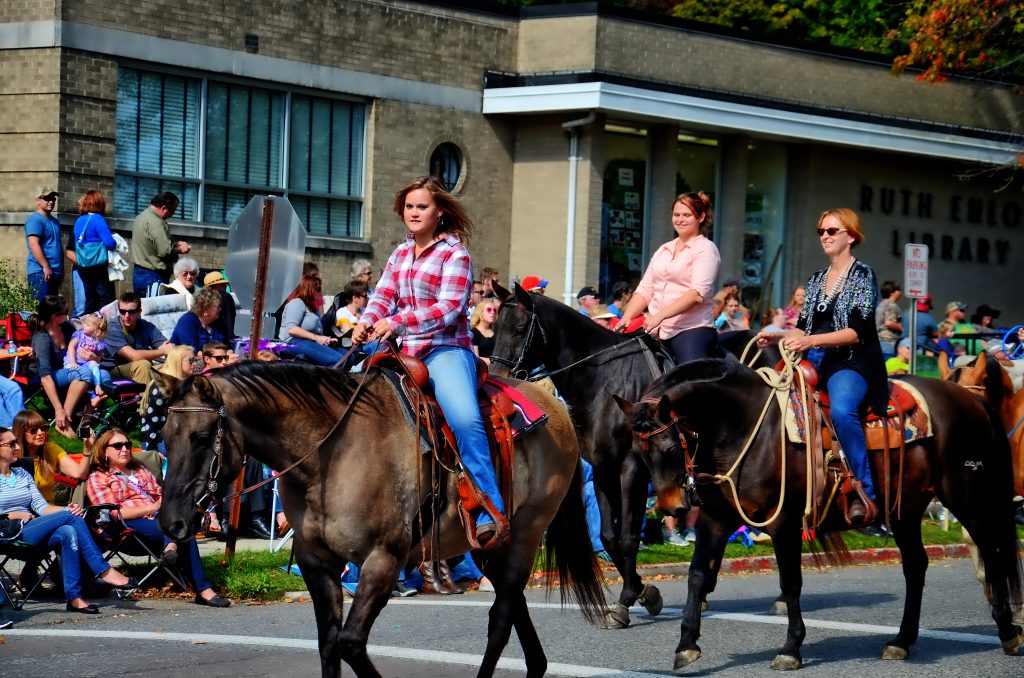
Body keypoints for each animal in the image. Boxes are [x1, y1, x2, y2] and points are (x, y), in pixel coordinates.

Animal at [156, 360, 602, 678]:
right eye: (164, 437)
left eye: (201, 438)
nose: (169, 523)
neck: (331, 454)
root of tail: (556, 406)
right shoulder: (317, 563)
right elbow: (329, 644)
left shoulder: (382, 560)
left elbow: (350, 642)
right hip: (491, 545)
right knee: (514, 607)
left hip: (527, 532)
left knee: (501, 619)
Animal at [614, 358, 1024, 671]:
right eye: (638, 449)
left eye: (670, 446)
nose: (671, 507)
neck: (743, 428)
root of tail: (971, 399)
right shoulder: (716, 520)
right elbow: (698, 576)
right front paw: (686, 644)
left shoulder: (783, 524)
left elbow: (790, 583)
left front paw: (790, 649)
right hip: (906, 509)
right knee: (916, 565)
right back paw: (902, 640)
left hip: (967, 496)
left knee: (991, 551)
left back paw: (1008, 631)